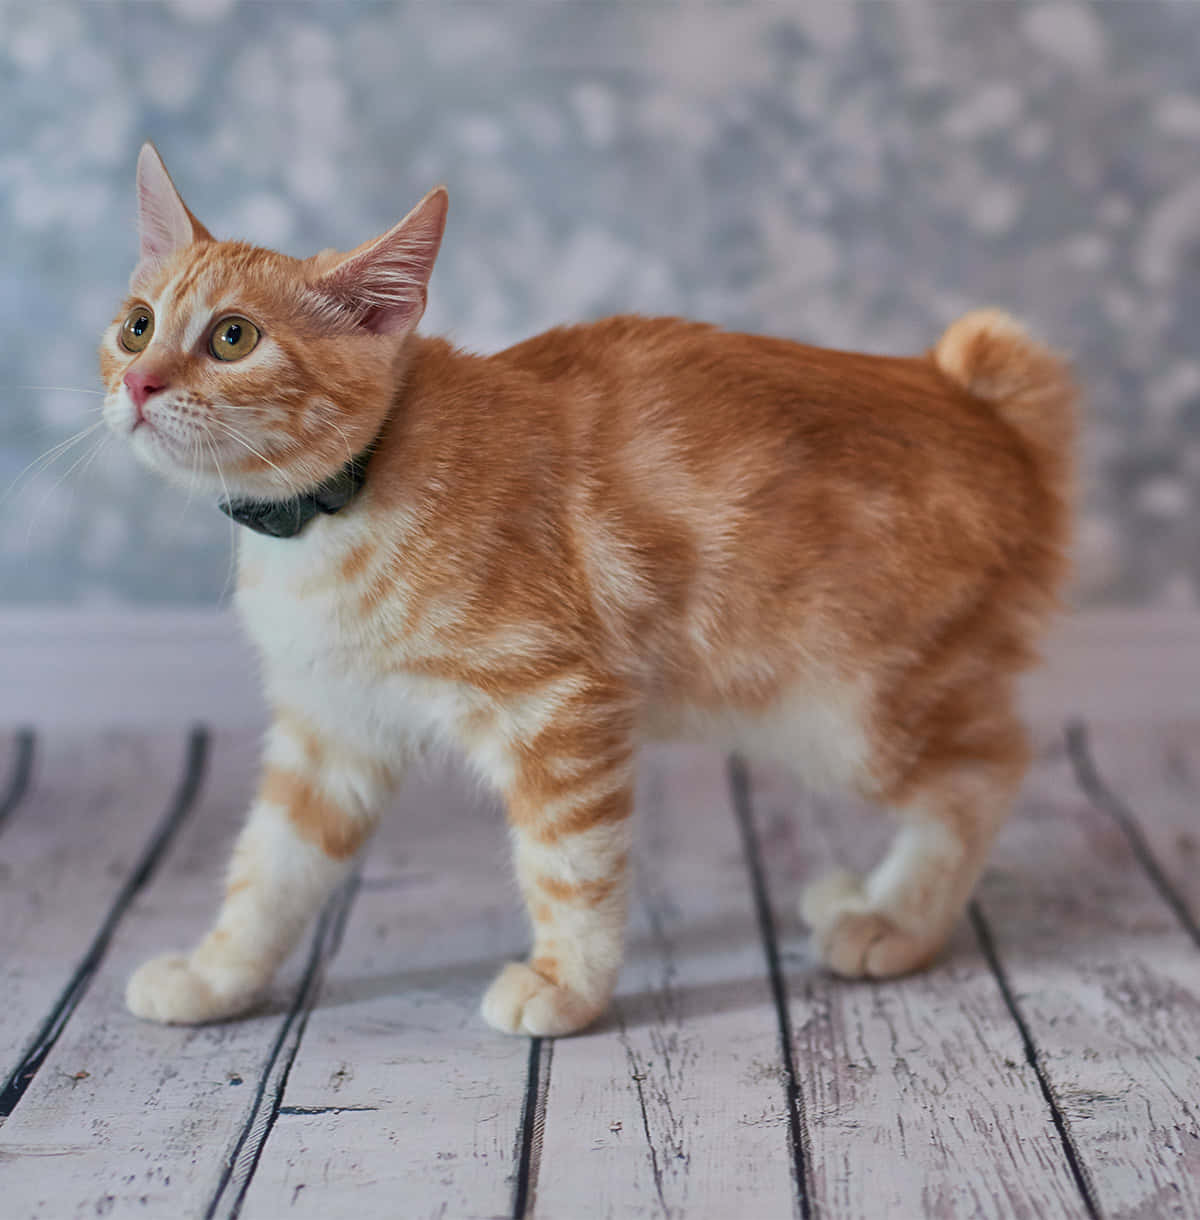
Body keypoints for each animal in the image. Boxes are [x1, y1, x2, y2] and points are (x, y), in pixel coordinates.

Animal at [100, 147, 1078, 1034]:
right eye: (138, 325)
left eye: (234, 337)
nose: (139, 383)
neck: (335, 509)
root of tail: (978, 401)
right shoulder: (331, 728)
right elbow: (271, 866)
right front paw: (217, 975)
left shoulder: (559, 704)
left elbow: (571, 866)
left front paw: (567, 986)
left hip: (850, 710)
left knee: (988, 769)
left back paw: (897, 921)